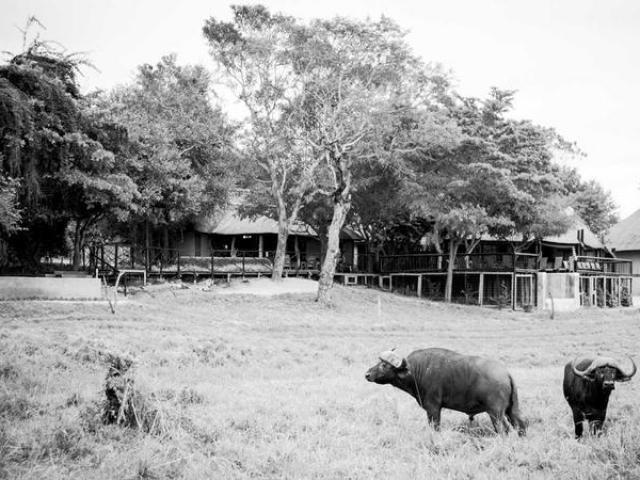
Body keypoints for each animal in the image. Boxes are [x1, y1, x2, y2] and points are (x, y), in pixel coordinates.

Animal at [362, 348, 528, 436]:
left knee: (504, 429)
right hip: (511, 410)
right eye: (379, 362)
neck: (417, 371)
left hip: (496, 413)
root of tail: (506, 373)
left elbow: (435, 427)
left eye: (384, 365)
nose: (367, 374)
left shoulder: (433, 408)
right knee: (521, 425)